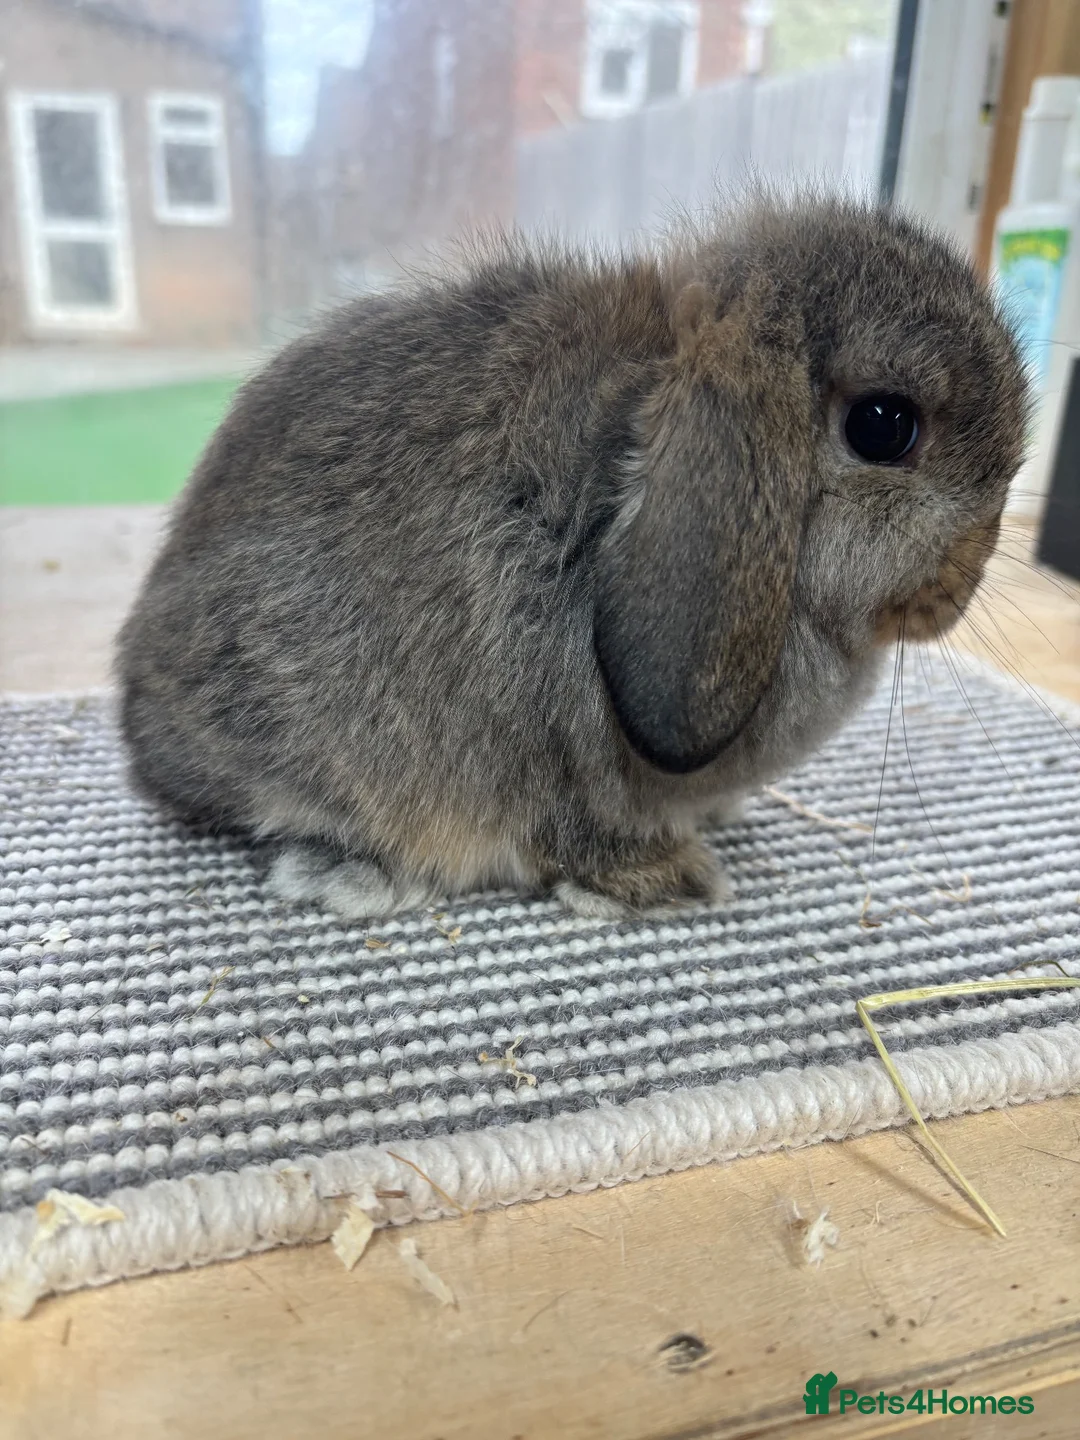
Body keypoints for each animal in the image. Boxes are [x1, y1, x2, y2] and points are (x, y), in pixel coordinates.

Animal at [116, 194, 1028, 922]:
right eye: (883, 426)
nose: (965, 582)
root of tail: (139, 718)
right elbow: (575, 831)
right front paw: (673, 879)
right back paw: (353, 872)